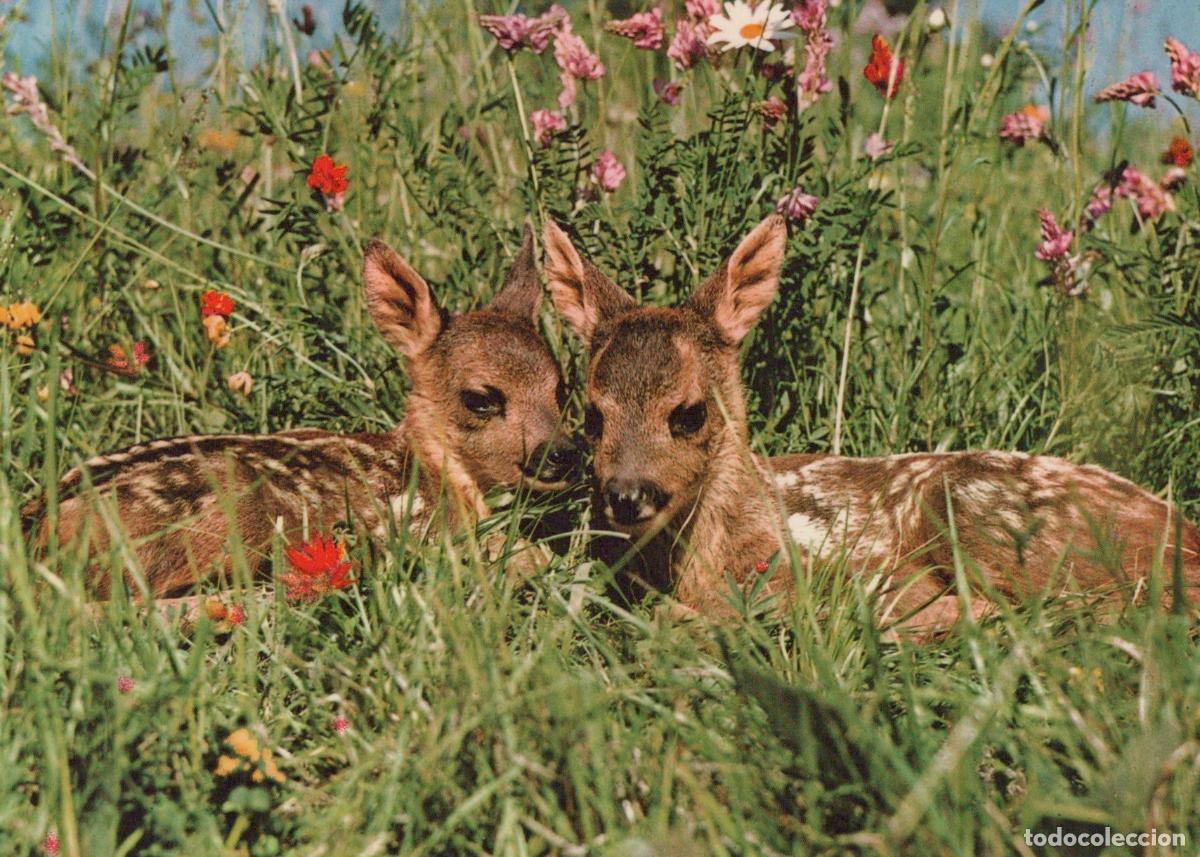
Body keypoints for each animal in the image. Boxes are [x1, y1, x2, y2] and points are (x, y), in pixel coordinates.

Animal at [24, 227, 579, 623]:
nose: (561, 453)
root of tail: (35, 537)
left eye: (561, 387)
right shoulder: (426, 532)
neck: (435, 472)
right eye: (481, 398)